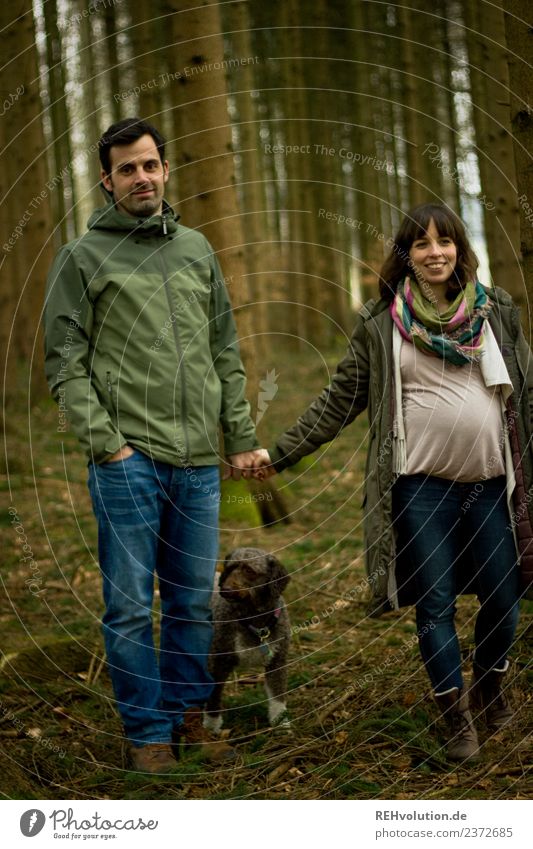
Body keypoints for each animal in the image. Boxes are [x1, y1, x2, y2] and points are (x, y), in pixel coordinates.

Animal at [206, 548, 294, 732]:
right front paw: (211, 726)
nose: (225, 589)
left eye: (249, 570)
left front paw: (281, 723)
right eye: (230, 567)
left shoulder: (277, 662)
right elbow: (214, 695)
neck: (254, 619)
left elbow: (277, 695)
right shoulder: (218, 662)